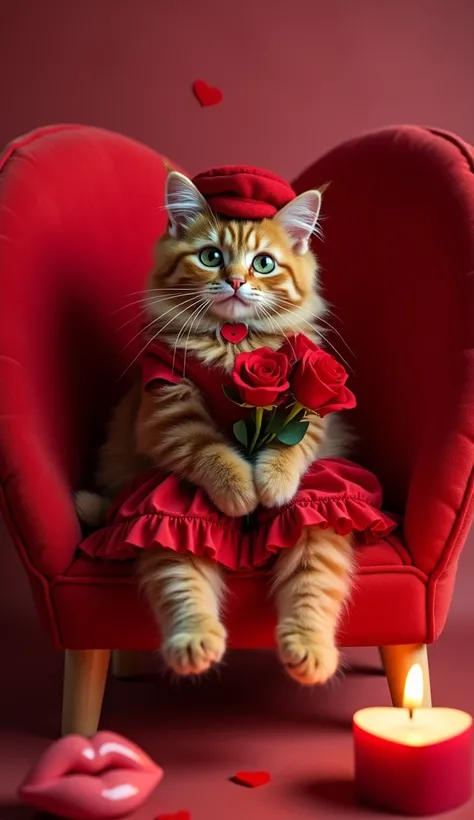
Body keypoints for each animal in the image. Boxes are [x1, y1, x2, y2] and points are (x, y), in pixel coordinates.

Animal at [76, 171, 354, 684]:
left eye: (264, 263)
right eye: (211, 257)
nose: (237, 281)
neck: (233, 342)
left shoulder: (310, 413)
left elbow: (289, 451)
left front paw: (271, 487)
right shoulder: (166, 409)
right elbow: (210, 451)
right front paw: (242, 493)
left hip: (319, 521)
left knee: (314, 580)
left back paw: (308, 653)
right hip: (162, 506)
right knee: (179, 574)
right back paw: (195, 644)